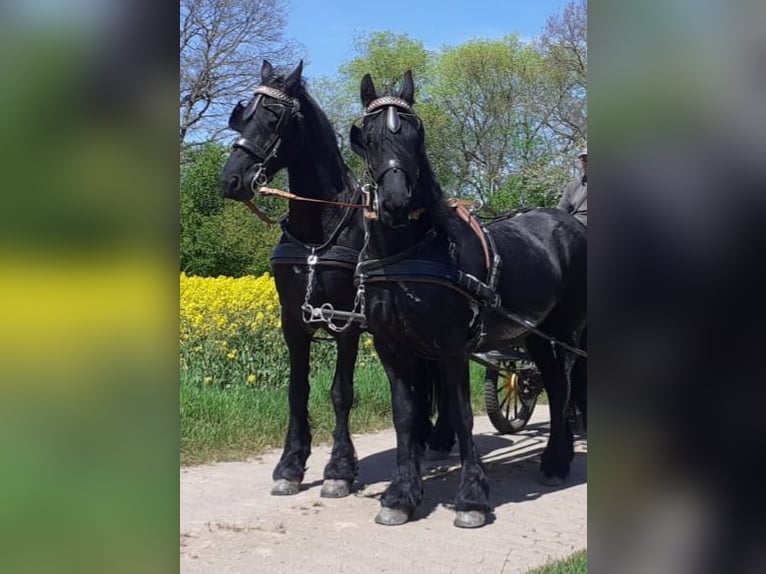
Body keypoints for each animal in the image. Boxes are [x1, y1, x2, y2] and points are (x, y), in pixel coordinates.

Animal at [350, 72, 588, 532]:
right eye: (367, 137)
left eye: (416, 132)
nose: (396, 202)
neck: (409, 253)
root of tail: (570, 222)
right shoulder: (392, 347)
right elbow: (404, 415)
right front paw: (401, 495)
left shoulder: (452, 347)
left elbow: (461, 413)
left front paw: (472, 497)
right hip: (534, 333)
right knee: (553, 380)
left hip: (564, 329)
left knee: (563, 385)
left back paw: (557, 459)